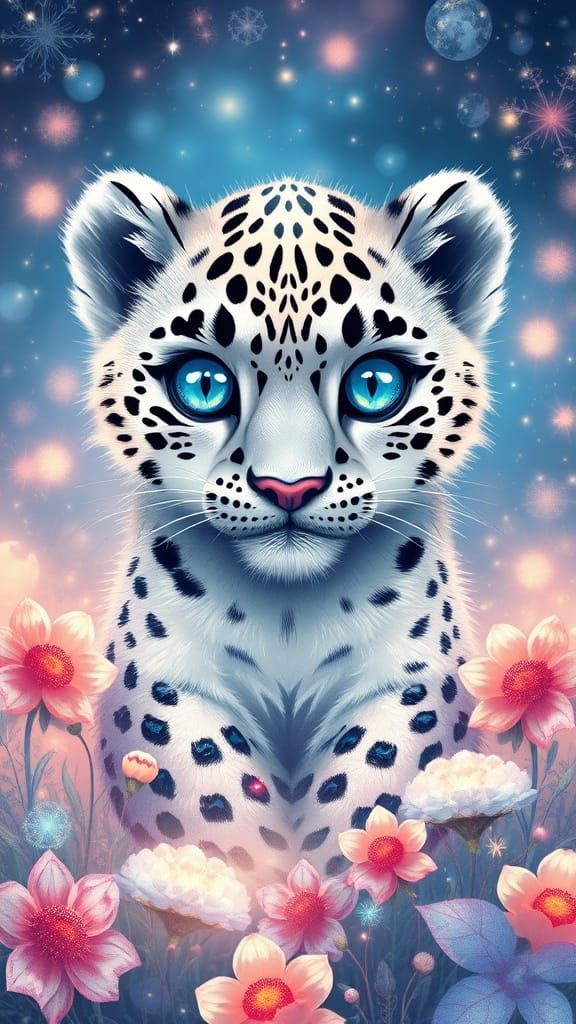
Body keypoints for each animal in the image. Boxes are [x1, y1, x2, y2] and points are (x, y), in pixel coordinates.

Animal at [64, 167, 512, 883]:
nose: (289, 487)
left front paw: (320, 883)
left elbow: (372, 790)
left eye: (376, 383)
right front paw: (254, 881)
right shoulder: (161, 679)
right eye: (203, 383)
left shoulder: (414, 680)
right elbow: (209, 796)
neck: (290, 614)